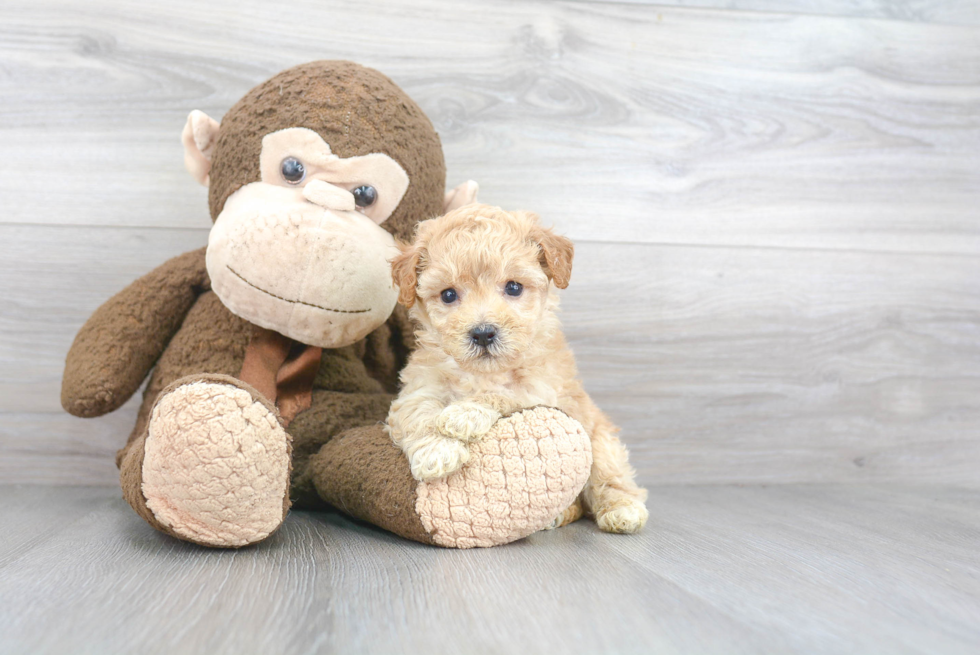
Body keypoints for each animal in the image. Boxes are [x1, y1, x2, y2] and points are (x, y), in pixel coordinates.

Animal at [384, 204, 652, 532]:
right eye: (448, 294)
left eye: (513, 287)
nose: (483, 333)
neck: (483, 373)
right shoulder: (418, 387)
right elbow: (417, 413)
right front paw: (436, 450)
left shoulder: (541, 391)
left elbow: (504, 395)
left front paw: (465, 413)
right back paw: (559, 514)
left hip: (601, 440)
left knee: (609, 478)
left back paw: (622, 509)